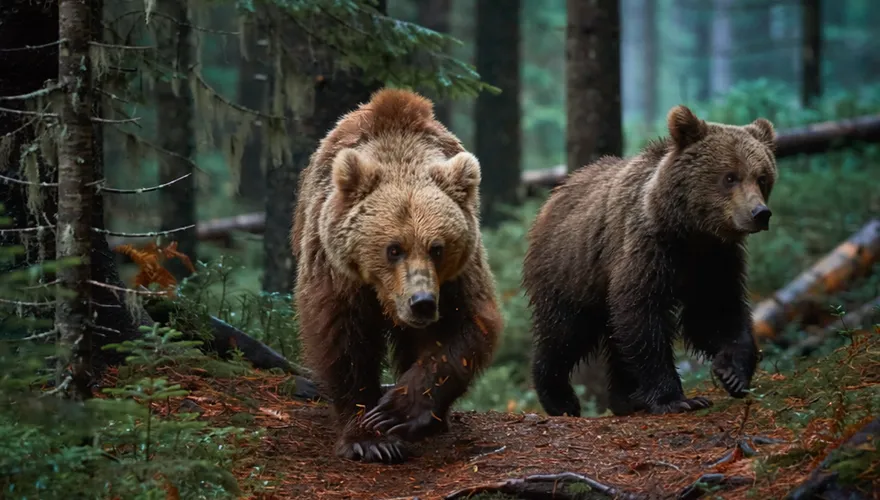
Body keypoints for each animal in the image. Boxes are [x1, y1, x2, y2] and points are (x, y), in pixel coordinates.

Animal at [291, 88, 503, 464]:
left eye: (437, 247)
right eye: (394, 248)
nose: (422, 302)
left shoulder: (458, 277)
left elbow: (463, 331)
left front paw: (398, 412)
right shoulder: (336, 271)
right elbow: (343, 339)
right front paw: (369, 437)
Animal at [522, 104, 776, 417]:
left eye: (762, 177)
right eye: (730, 177)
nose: (760, 213)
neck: (690, 232)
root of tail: (555, 195)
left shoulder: (715, 260)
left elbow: (717, 310)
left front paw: (732, 373)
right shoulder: (648, 249)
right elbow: (643, 316)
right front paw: (677, 398)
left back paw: (626, 399)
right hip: (570, 268)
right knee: (565, 332)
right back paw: (560, 399)